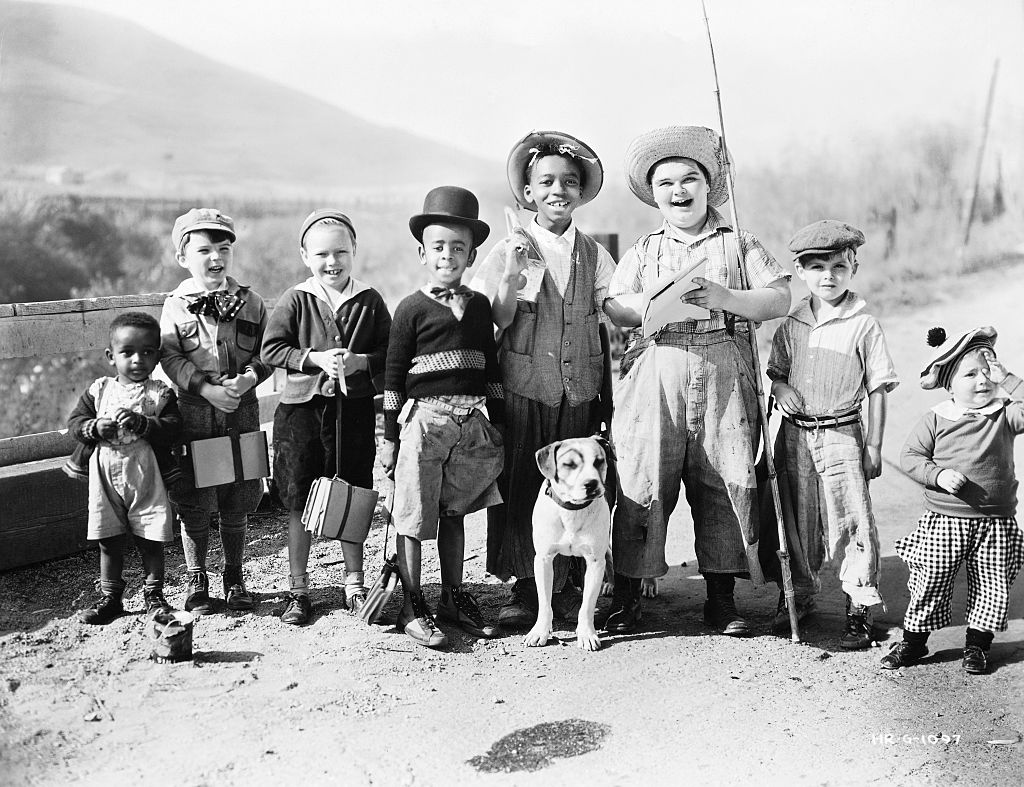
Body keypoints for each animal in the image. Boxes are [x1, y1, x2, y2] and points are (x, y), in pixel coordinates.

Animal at [528, 435, 606, 650]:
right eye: (569, 464)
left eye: (599, 461)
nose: (591, 483)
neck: (572, 509)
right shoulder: (543, 560)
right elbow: (544, 603)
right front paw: (540, 631)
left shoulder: (595, 562)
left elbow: (587, 605)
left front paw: (587, 633)